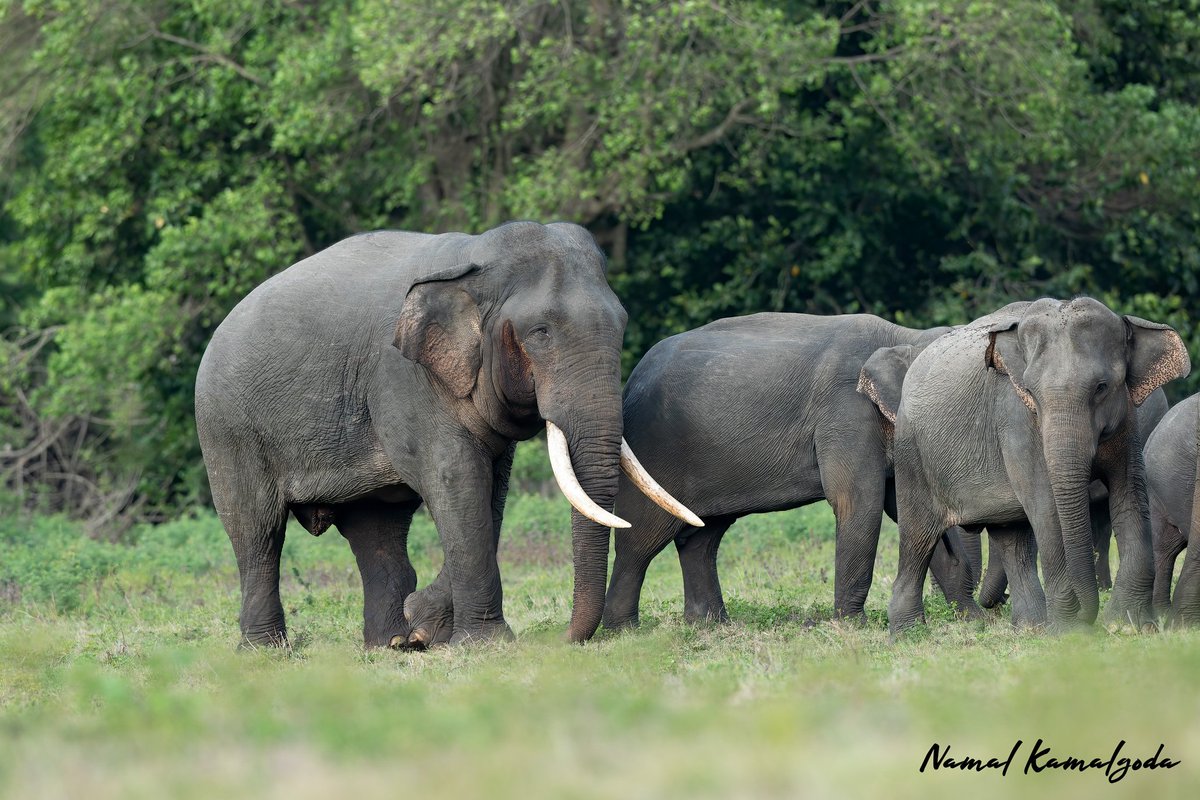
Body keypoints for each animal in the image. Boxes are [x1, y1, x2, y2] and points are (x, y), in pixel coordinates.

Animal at [194, 220, 696, 652]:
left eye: (622, 324)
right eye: (540, 332)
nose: (562, 640)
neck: (472, 258)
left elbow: (491, 486)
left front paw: (424, 628)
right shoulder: (402, 375)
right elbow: (456, 476)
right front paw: (483, 644)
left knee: (375, 529)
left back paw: (389, 644)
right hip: (227, 429)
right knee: (257, 531)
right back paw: (265, 651)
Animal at [583, 311, 984, 638]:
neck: (903, 335)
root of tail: (630, 380)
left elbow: (901, 506)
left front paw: (970, 618)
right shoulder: (845, 412)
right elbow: (859, 502)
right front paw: (852, 626)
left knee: (702, 538)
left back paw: (709, 625)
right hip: (654, 450)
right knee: (642, 538)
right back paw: (625, 632)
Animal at [864, 297, 1190, 633]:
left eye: (1101, 387)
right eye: (1031, 392)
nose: (1090, 618)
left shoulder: (1128, 421)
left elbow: (1130, 492)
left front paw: (1128, 624)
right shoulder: (1016, 418)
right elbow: (1046, 506)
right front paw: (1070, 631)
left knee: (1012, 538)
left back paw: (1030, 626)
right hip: (912, 454)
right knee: (917, 539)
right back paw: (907, 633)